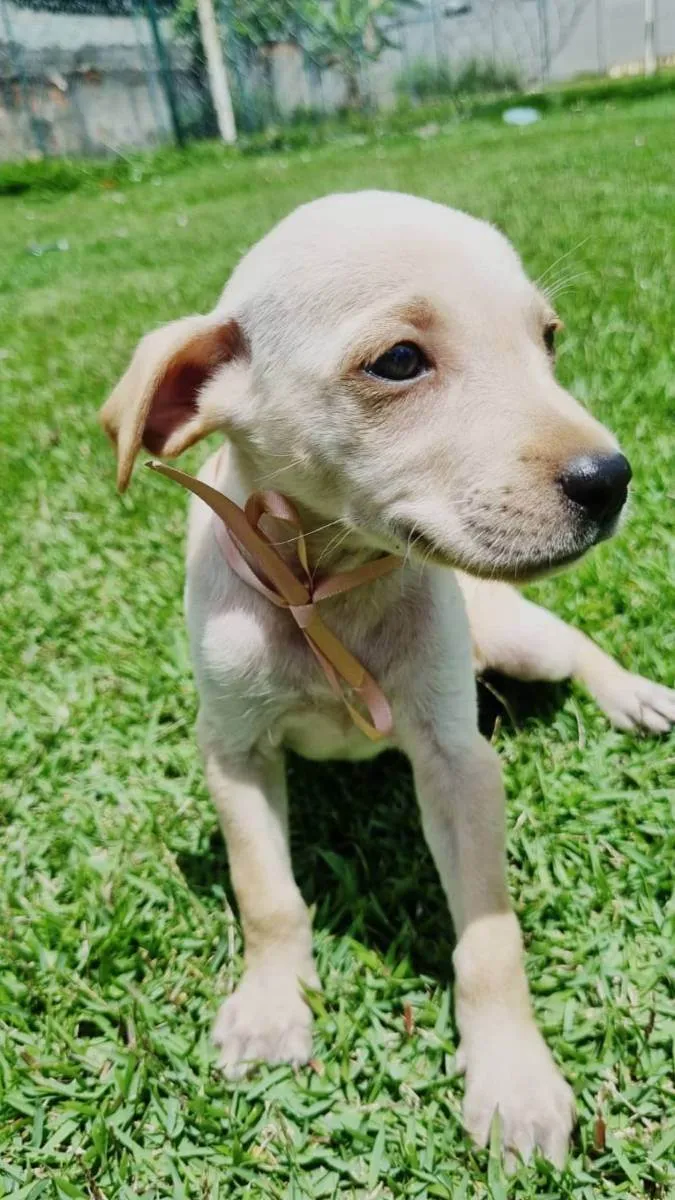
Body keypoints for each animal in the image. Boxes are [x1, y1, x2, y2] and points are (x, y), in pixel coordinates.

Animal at [100, 194, 672, 1161]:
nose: (612, 479)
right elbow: (267, 895)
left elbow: (488, 939)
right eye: (399, 361)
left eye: (547, 339)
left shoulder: (457, 761)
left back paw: (631, 695)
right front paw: (272, 1008)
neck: (324, 588)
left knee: (572, 643)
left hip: (515, 639)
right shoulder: (233, 752)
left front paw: (512, 1080)